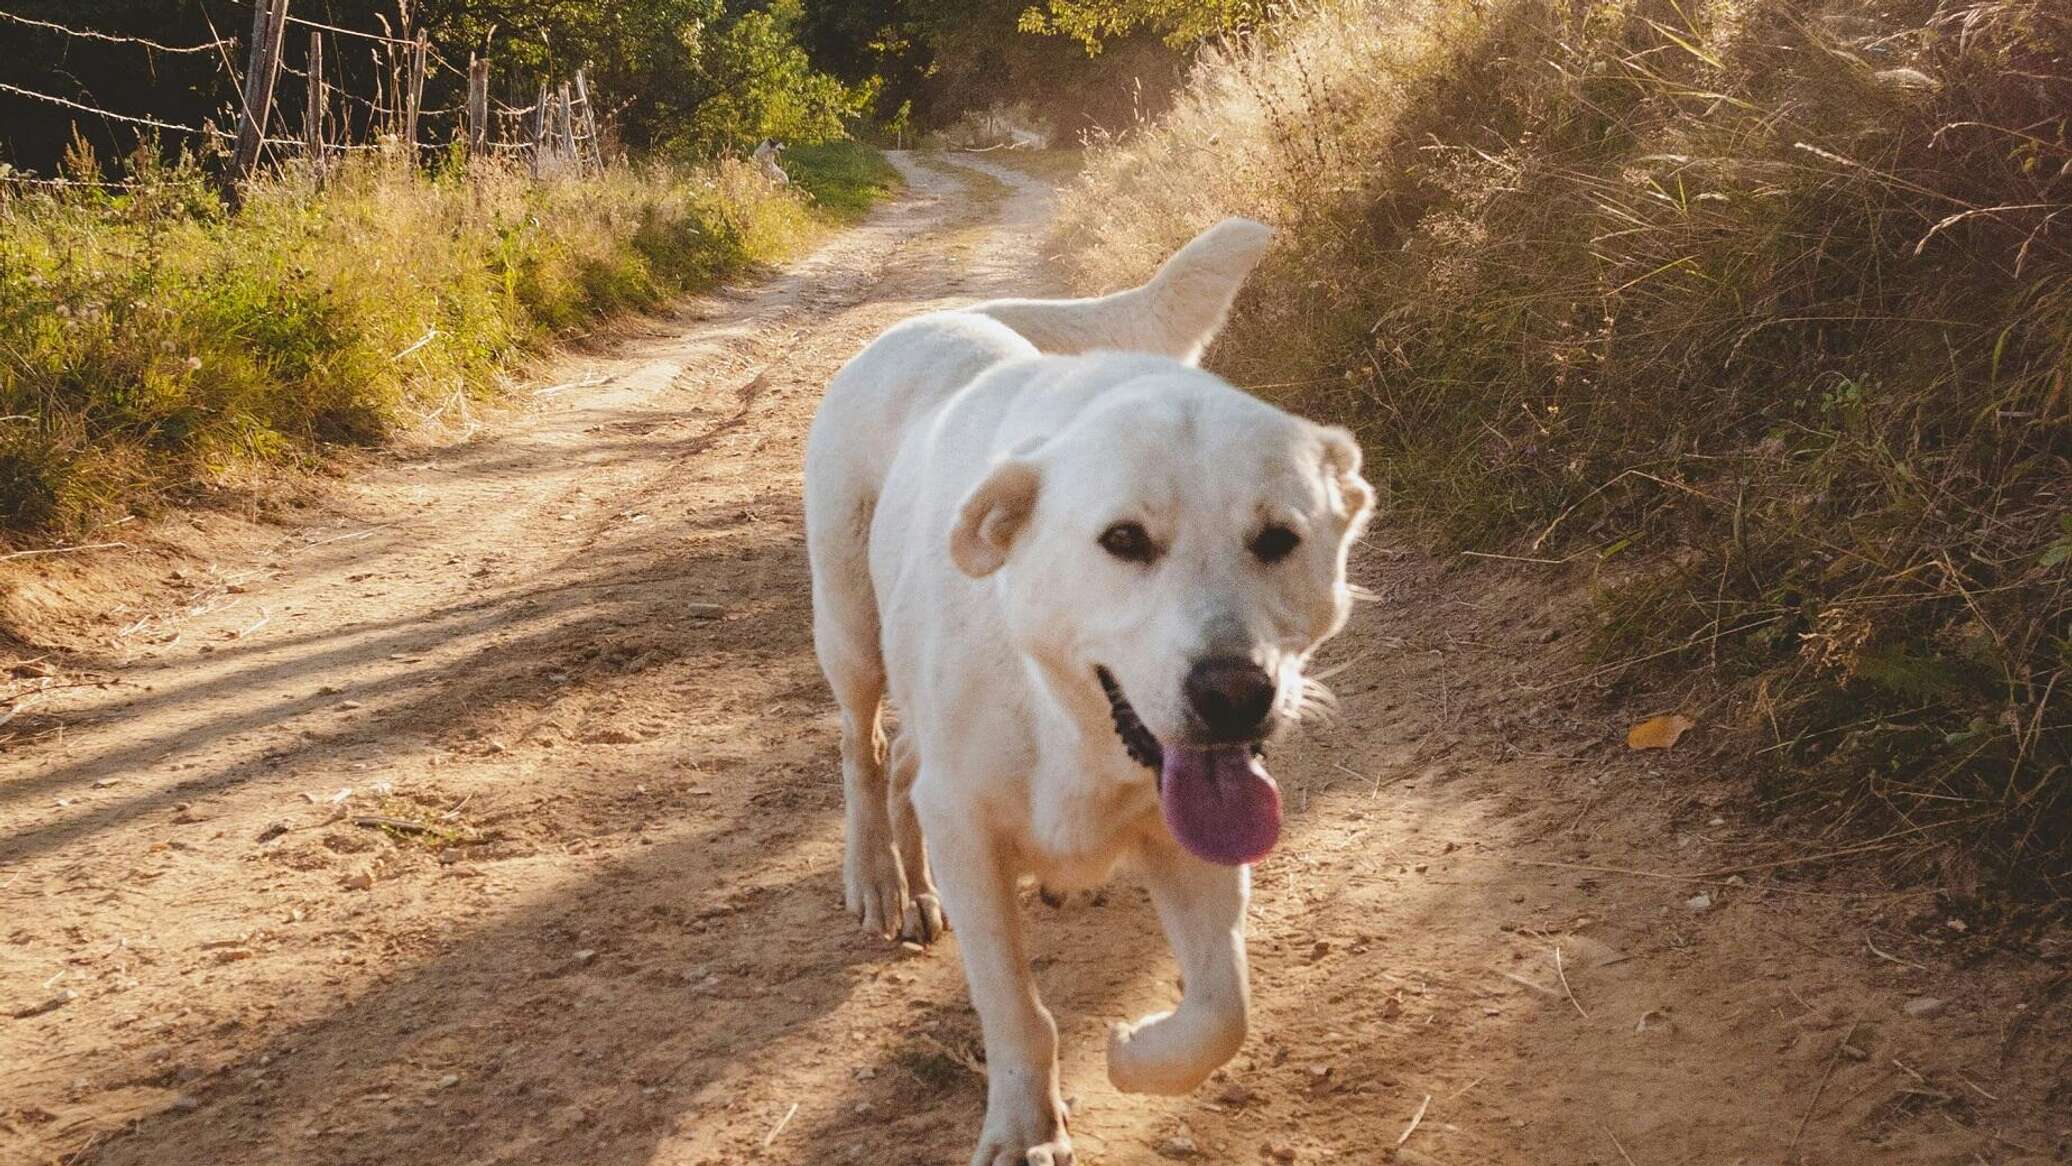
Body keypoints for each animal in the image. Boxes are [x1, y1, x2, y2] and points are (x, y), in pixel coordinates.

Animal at [803, 221, 1375, 1166]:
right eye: (1124, 540)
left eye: (1277, 539)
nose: (1236, 693)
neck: (1066, 723)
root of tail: (940, 318)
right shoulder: (971, 831)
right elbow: (1013, 1010)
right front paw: (1024, 1127)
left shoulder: (1192, 836)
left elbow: (1222, 1011)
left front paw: (1136, 1054)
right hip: (849, 631)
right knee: (864, 748)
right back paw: (880, 879)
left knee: (906, 766)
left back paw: (928, 887)